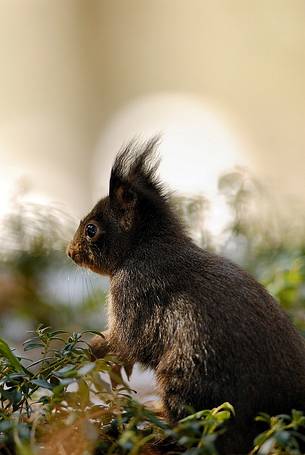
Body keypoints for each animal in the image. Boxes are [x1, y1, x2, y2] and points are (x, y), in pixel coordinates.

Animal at [67, 140, 305, 455]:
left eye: (91, 229)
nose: (70, 252)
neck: (143, 247)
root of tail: (282, 410)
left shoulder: (132, 293)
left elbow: (124, 339)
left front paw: (90, 350)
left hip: (186, 377)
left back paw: (157, 427)